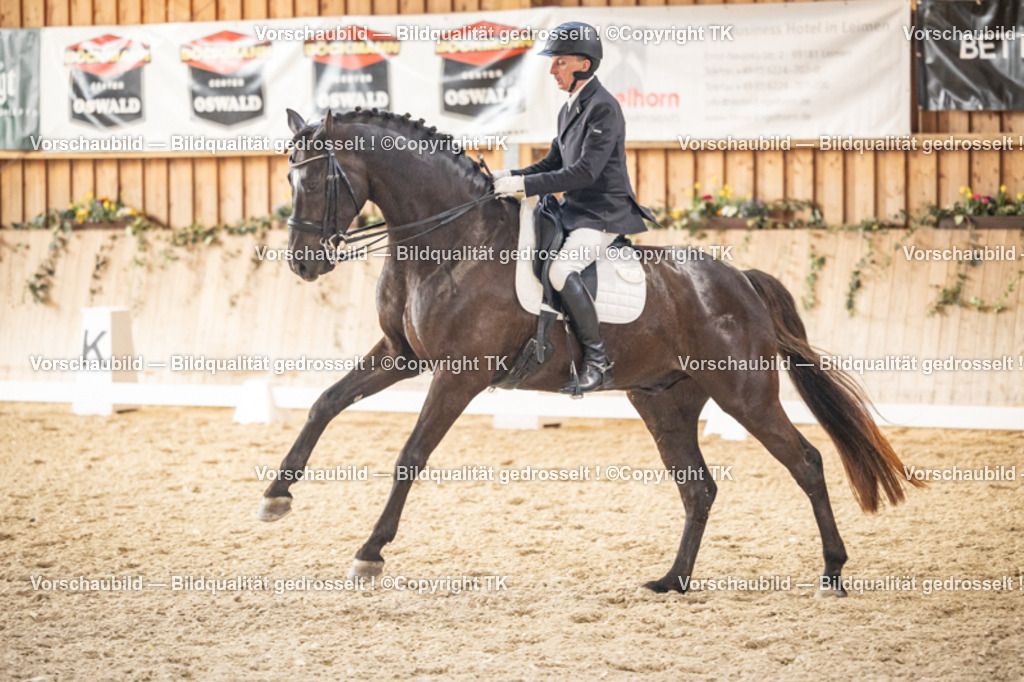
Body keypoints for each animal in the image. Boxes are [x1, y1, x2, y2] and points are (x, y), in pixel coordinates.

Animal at [257, 107, 922, 596]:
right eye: (288, 179)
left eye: (315, 180)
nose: (303, 265)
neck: (450, 239)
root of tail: (741, 280)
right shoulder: (401, 354)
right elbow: (324, 403)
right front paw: (276, 496)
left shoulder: (459, 374)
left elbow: (410, 454)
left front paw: (370, 553)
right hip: (663, 401)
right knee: (699, 488)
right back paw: (672, 581)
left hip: (745, 394)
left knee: (806, 462)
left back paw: (832, 572)